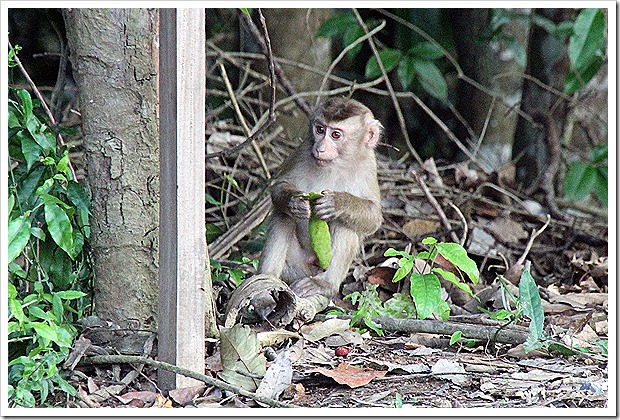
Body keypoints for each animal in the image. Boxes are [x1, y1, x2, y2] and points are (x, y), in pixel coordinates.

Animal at [256, 96, 382, 318]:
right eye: (320, 130)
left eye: (336, 135)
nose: (320, 148)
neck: (337, 164)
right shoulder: (303, 150)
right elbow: (280, 187)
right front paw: (295, 202)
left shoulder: (368, 166)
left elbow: (374, 217)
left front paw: (337, 203)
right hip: (294, 268)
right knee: (283, 216)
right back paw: (268, 279)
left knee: (345, 225)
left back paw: (324, 284)